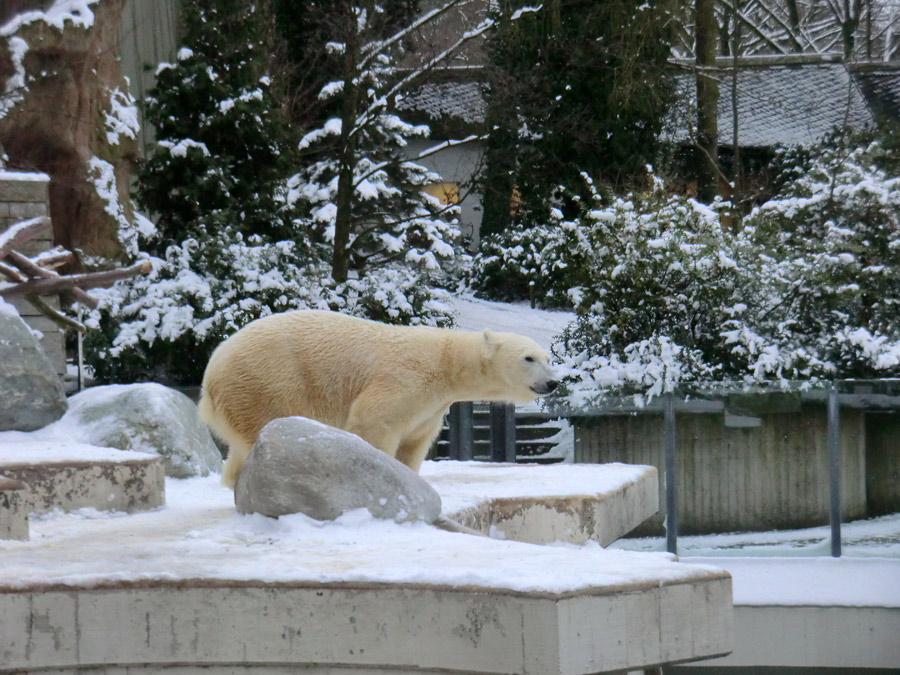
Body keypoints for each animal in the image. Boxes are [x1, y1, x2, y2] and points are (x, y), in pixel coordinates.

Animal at [200, 308, 560, 488]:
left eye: (548, 358)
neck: (445, 364)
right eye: (528, 358)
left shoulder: (430, 408)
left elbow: (414, 443)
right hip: (266, 382)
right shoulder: (404, 379)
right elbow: (375, 422)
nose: (553, 383)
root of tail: (210, 375)